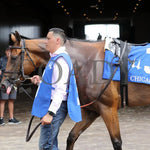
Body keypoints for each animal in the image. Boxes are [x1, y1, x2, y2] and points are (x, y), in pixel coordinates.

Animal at [1, 30, 150, 150]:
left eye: (13, 57)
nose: (3, 84)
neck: (89, 62)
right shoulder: (92, 110)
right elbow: (72, 136)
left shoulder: (108, 109)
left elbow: (116, 142)